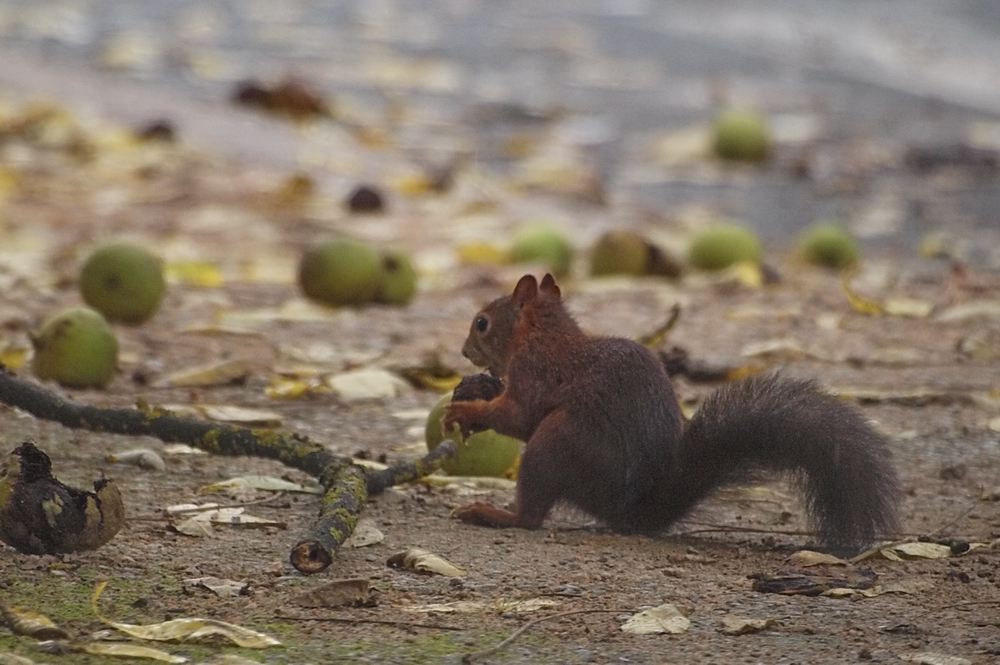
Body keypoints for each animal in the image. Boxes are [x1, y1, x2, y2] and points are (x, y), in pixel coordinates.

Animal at [444, 272, 900, 552]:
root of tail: (633, 510)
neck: (543, 334)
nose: (464, 352)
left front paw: (468, 409)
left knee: (531, 517)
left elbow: (519, 416)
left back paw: (491, 514)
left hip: (554, 441)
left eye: (482, 323)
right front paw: (479, 388)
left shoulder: (536, 373)